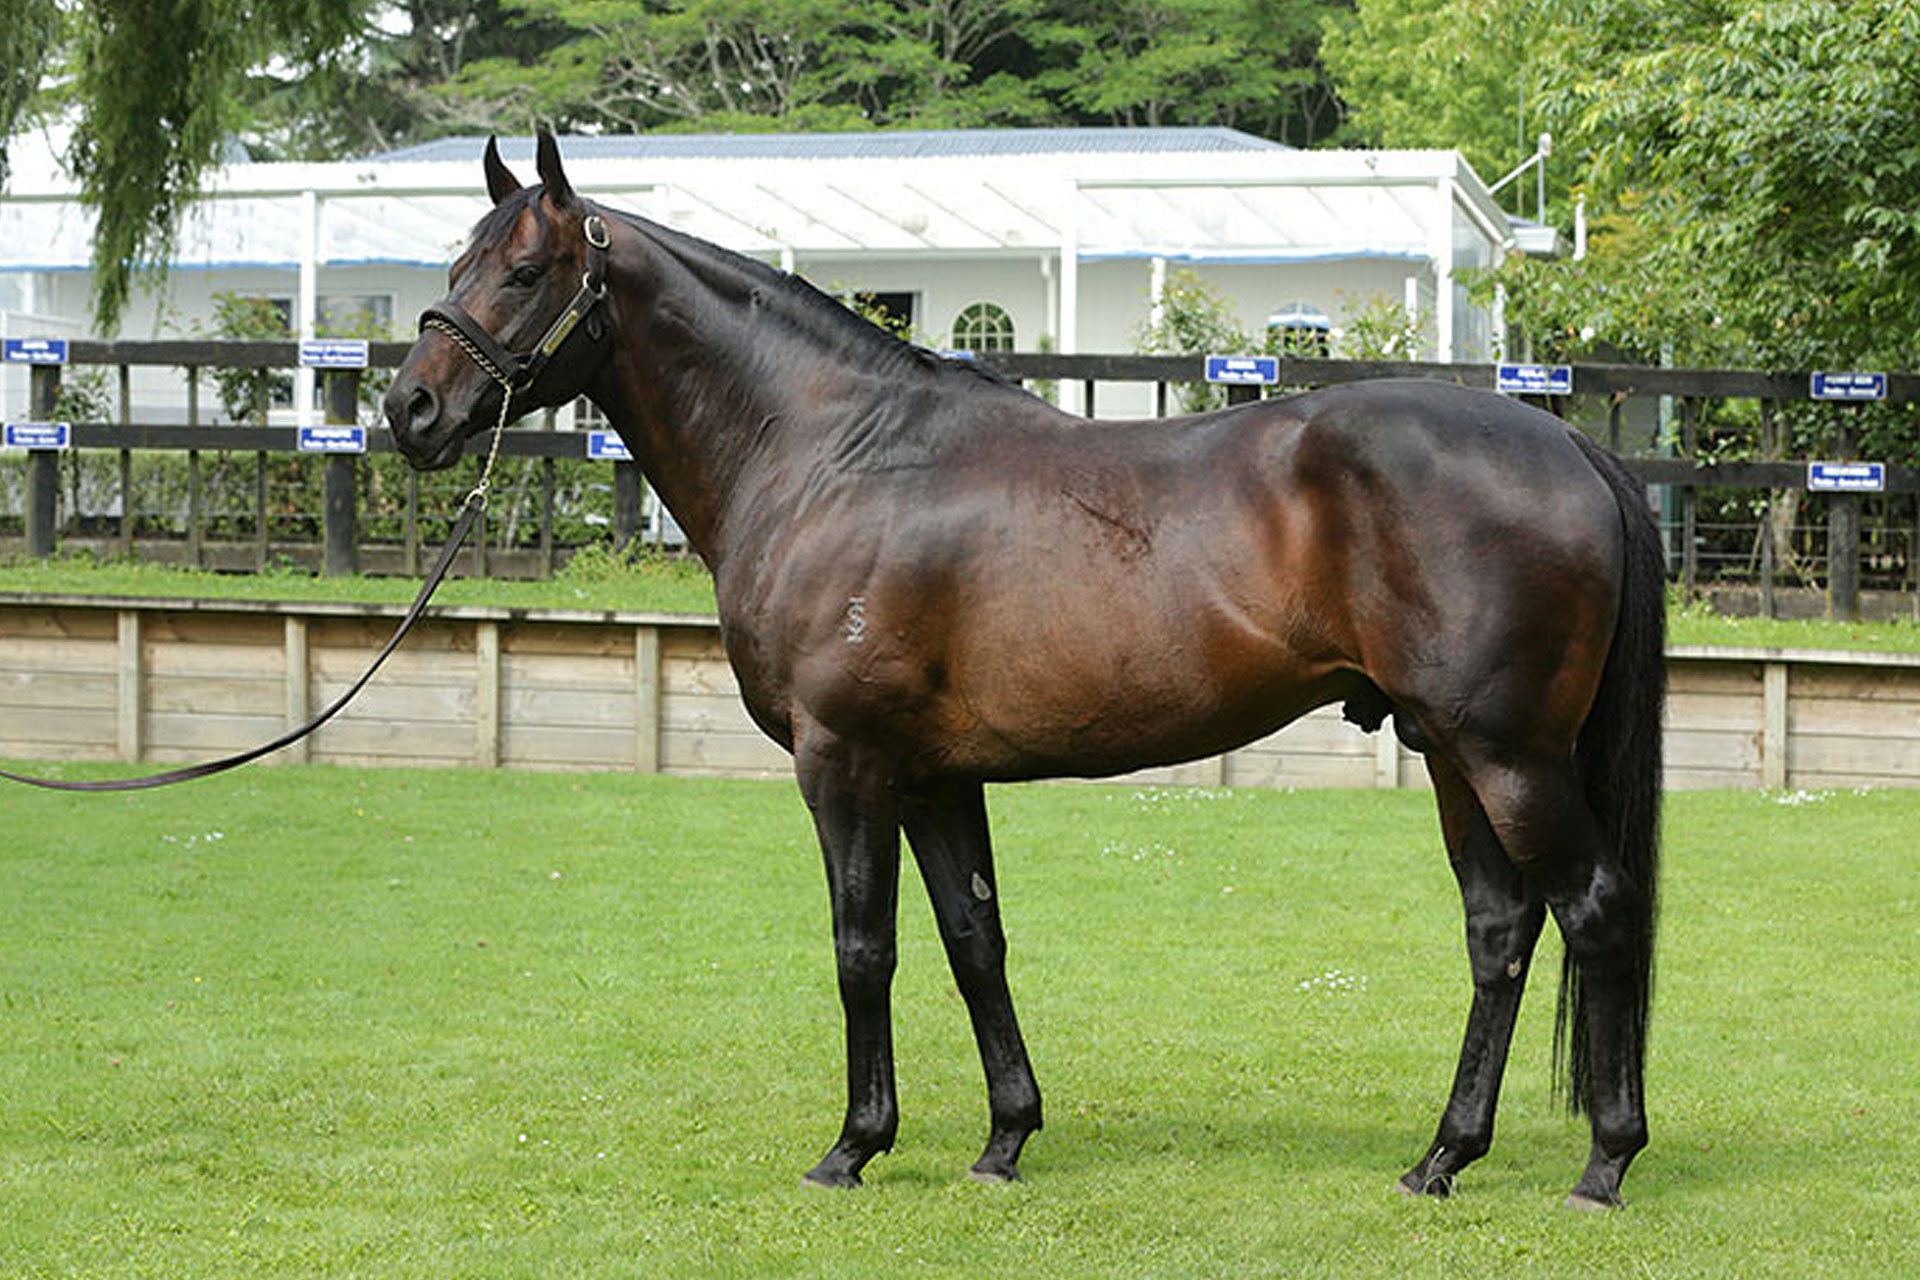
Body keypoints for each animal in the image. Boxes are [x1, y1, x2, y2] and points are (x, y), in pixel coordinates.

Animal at [384, 133, 1666, 1209]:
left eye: (526, 268)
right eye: (456, 259)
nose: (411, 407)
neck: (831, 454)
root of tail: (1568, 440)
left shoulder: (845, 761)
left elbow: (863, 947)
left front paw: (854, 1145)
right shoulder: (935, 775)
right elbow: (973, 941)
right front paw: (1004, 1137)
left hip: (1507, 754)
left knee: (1595, 909)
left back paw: (1604, 1161)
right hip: (1452, 749)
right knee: (1501, 930)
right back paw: (1443, 1155)